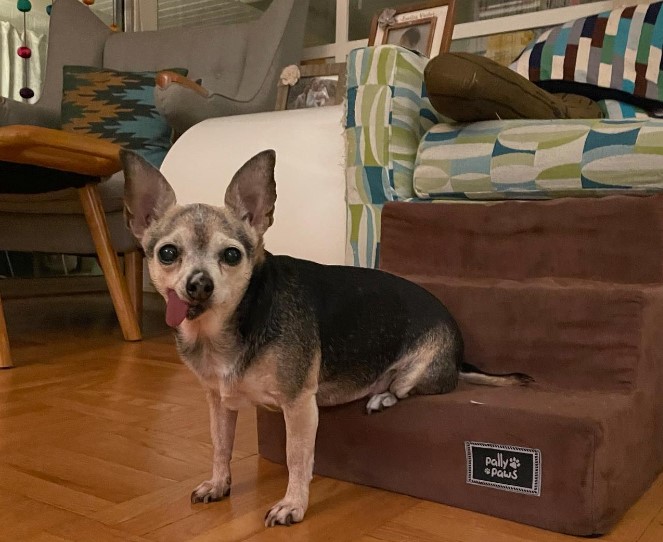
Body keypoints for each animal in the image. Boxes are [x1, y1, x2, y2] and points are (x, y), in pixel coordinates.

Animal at [122, 149, 532, 528]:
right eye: (168, 253)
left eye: (232, 255)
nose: (199, 283)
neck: (228, 328)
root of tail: (459, 353)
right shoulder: (220, 402)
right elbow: (221, 446)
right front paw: (219, 483)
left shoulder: (299, 405)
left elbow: (297, 458)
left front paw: (293, 505)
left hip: (418, 371)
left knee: (405, 388)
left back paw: (383, 396)